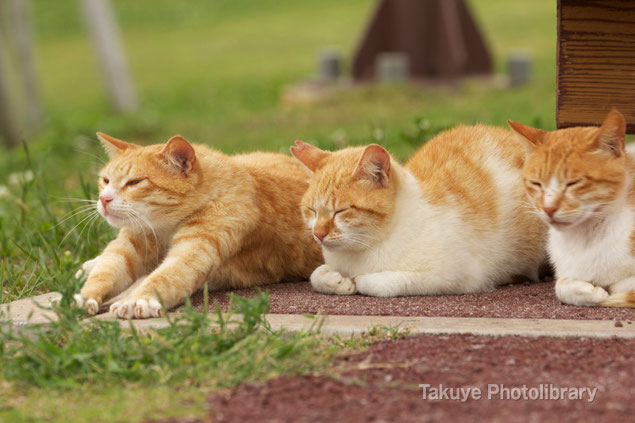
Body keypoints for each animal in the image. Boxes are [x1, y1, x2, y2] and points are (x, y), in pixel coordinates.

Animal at [74, 132, 322, 318]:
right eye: (105, 180)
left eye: (134, 182)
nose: (103, 199)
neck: (164, 228)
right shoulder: (128, 247)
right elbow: (106, 270)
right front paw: (83, 297)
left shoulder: (194, 249)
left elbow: (164, 275)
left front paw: (138, 299)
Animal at [290, 126, 548, 298]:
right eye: (311, 210)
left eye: (341, 211)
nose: (318, 234)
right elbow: (316, 275)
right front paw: (336, 280)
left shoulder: (456, 275)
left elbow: (376, 283)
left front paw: (361, 279)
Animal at [512, 109, 635, 308]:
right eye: (536, 183)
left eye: (573, 183)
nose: (548, 208)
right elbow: (561, 285)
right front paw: (590, 291)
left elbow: (621, 286)